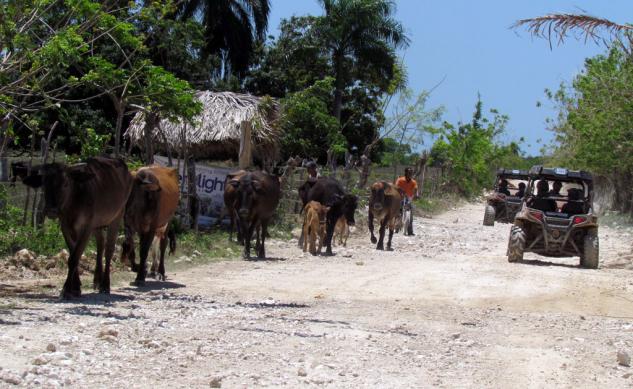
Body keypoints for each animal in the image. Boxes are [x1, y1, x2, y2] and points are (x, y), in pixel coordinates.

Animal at [22, 156, 133, 296]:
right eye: (44, 184)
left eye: (65, 183)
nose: (51, 210)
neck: (72, 205)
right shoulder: (66, 227)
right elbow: (73, 253)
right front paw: (75, 287)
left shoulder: (86, 227)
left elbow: (74, 257)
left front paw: (66, 289)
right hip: (98, 223)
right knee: (100, 244)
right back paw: (97, 280)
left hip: (117, 217)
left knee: (108, 250)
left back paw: (105, 284)